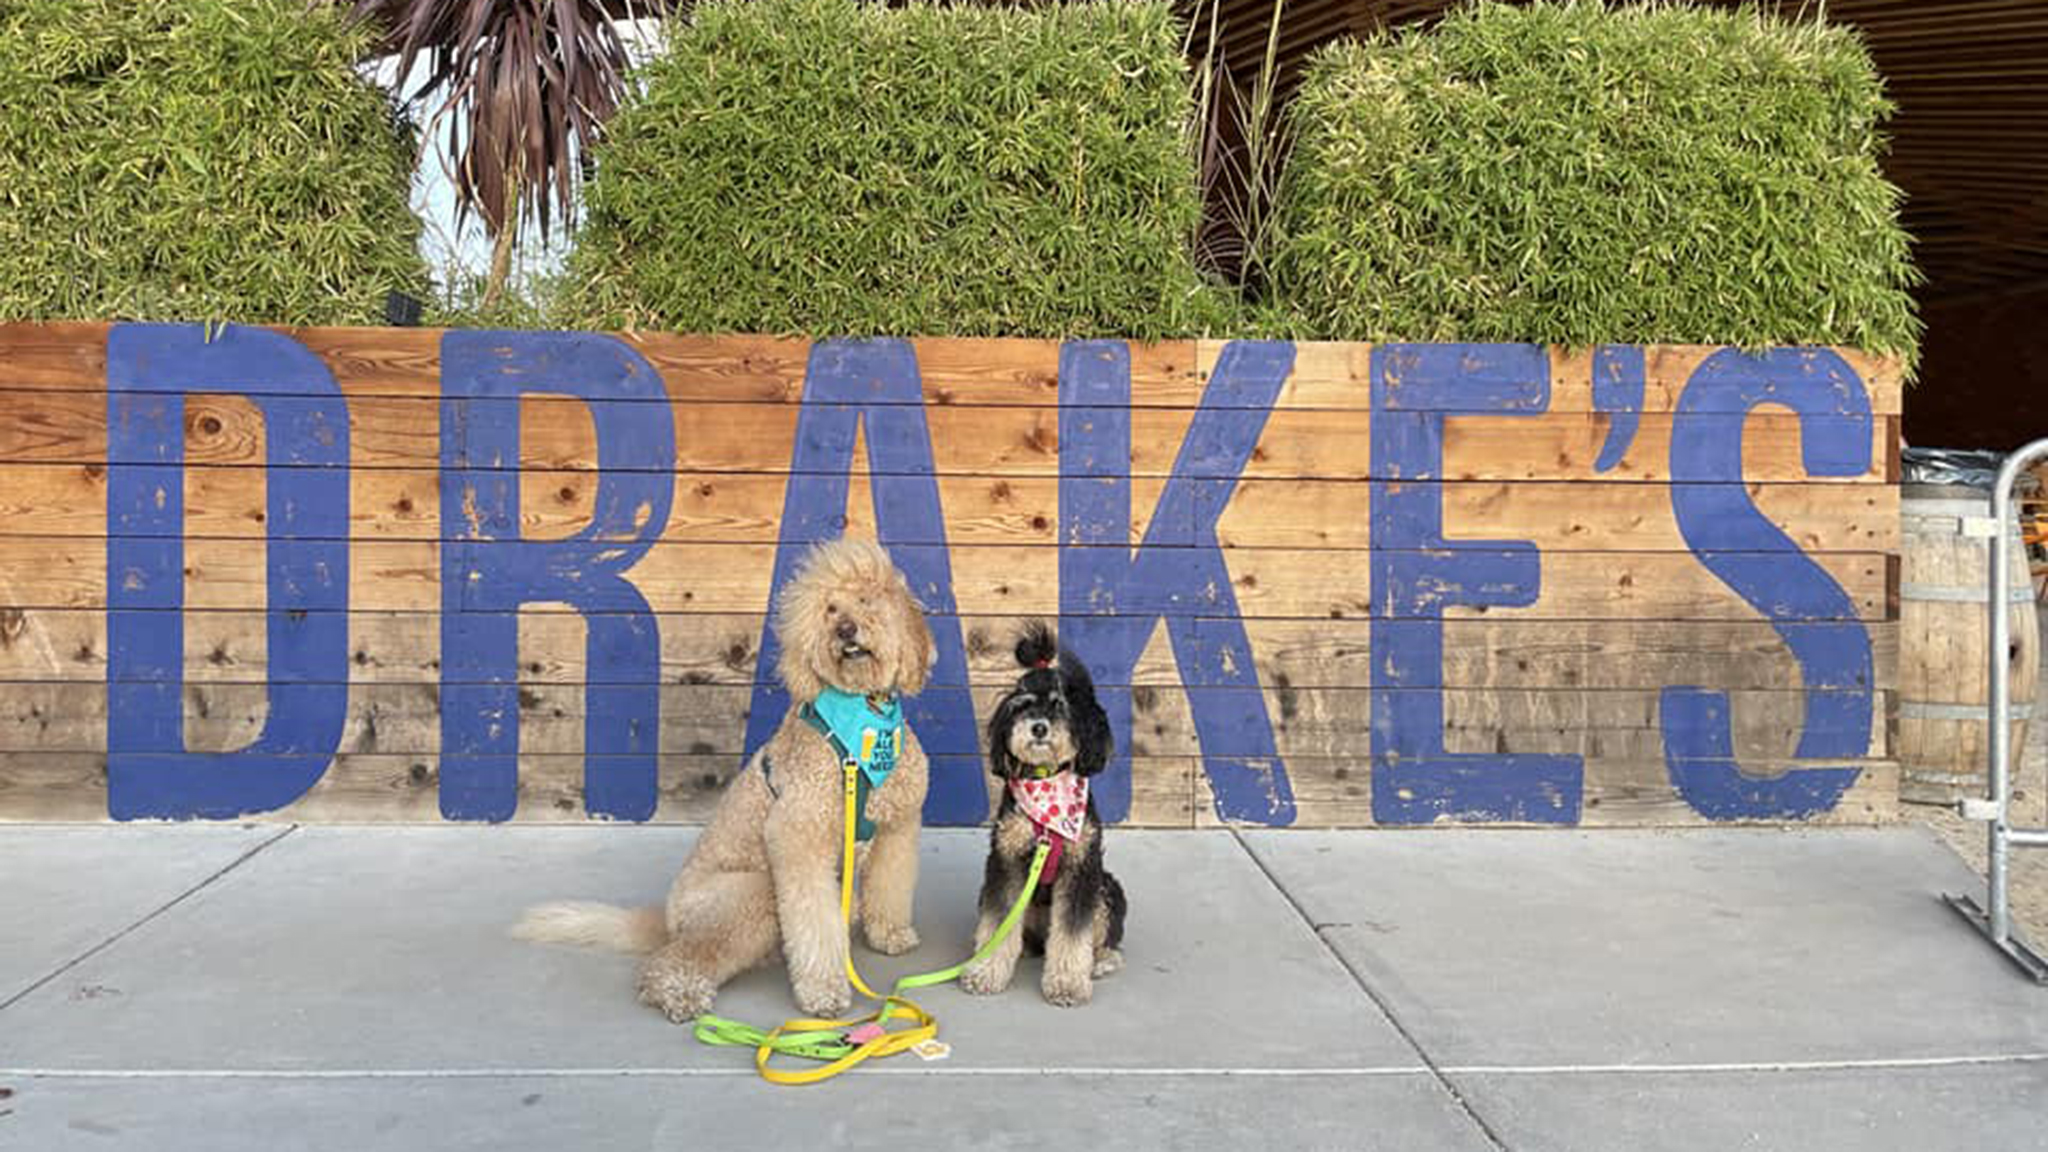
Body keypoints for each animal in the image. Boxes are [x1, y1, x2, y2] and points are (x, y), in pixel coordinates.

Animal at [512, 532, 937, 1016]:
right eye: (829, 609)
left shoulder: (896, 828)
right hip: (750, 893)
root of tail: (668, 919)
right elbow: (813, 925)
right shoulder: (799, 838)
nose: (845, 629)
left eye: (866, 600)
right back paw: (678, 991)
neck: (863, 721)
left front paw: (890, 935)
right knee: (688, 954)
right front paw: (823, 992)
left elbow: (891, 887)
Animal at [954, 619, 1122, 1004]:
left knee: (1104, 940)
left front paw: (1067, 984)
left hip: (1106, 888)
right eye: (1024, 705)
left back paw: (1102, 961)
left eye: (1060, 706)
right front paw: (985, 972)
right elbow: (997, 924)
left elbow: (1073, 936)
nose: (1039, 727)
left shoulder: (1081, 866)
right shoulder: (1006, 862)